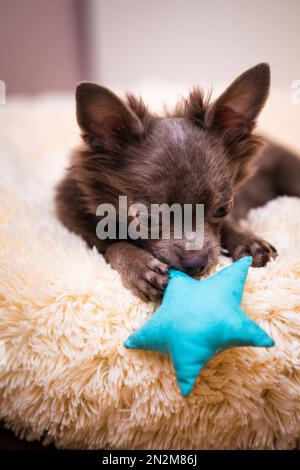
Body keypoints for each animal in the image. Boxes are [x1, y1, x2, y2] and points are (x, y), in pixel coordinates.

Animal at [55, 62, 300, 302]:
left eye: (223, 209)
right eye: (148, 219)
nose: (196, 263)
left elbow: (229, 227)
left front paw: (246, 240)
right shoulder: (81, 232)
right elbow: (113, 246)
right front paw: (139, 266)